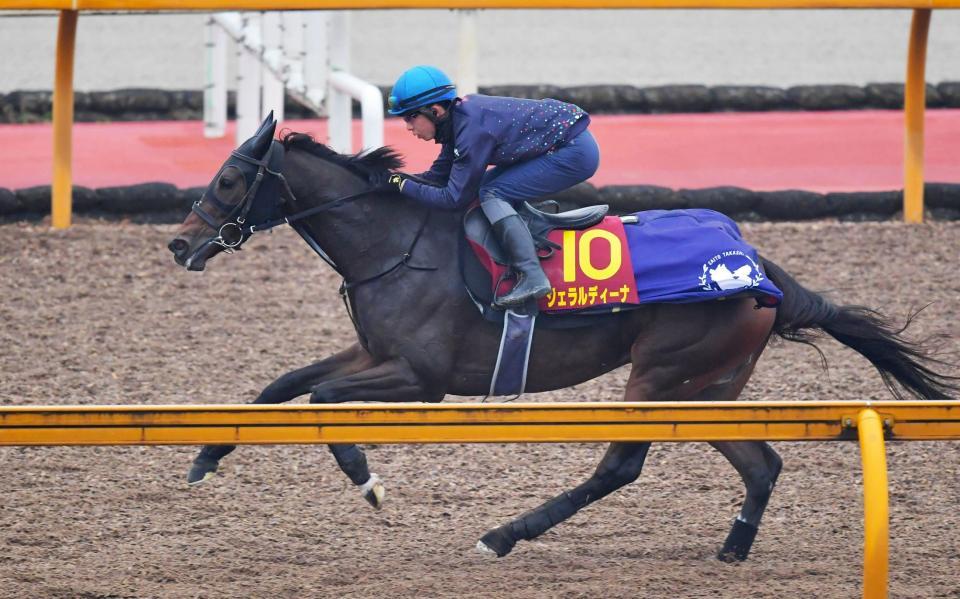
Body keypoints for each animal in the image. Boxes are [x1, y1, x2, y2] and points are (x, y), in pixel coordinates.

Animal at [167, 115, 958, 562]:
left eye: (231, 178)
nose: (179, 243)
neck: (393, 242)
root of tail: (755, 264)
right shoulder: (376, 352)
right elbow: (283, 383)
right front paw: (204, 456)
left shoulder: (421, 377)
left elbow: (323, 400)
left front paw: (368, 480)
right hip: (708, 387)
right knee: (762, 464)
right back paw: (732, 548)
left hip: (659, 375)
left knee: (621, 467)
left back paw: (504, 535)